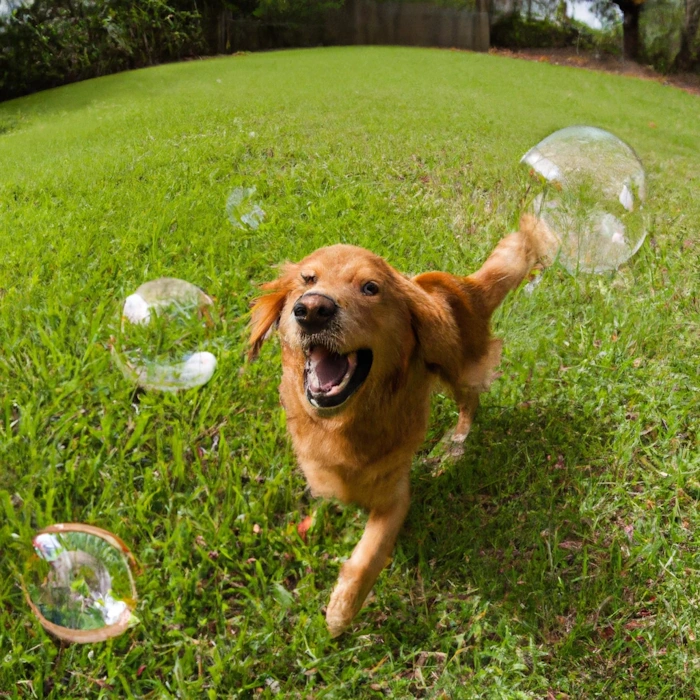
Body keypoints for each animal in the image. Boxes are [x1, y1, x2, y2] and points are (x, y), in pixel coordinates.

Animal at [249, 213, 556, 636]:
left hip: (459, 370)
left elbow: (368, 556)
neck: (345, 425)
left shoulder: (395, 494)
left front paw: (341, 609)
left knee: (471, 402)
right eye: (307, 279)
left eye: (370, 287)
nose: (311, 309)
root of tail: (466, 286)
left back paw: (454, 444)